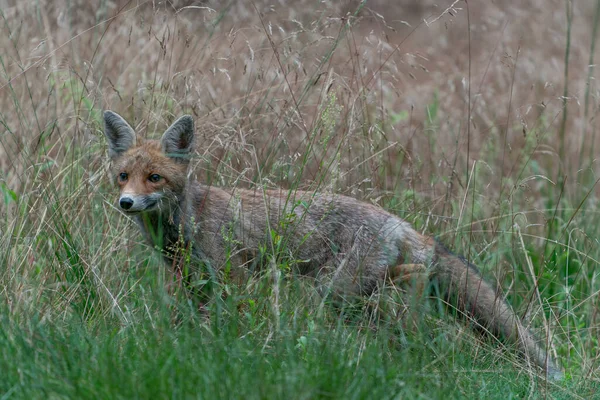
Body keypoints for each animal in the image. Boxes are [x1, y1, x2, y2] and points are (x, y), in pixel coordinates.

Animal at [102, 111, 564, 380]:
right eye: (123, 176)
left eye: (155, 178)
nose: (126, 203)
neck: (186, 221)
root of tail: (400, 223)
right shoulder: (189, 281)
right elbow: (186, 323)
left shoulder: (233, 275)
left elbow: (231, 322)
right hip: (355, 292)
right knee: (410, 279)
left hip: (338, 291)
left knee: (417, 275)